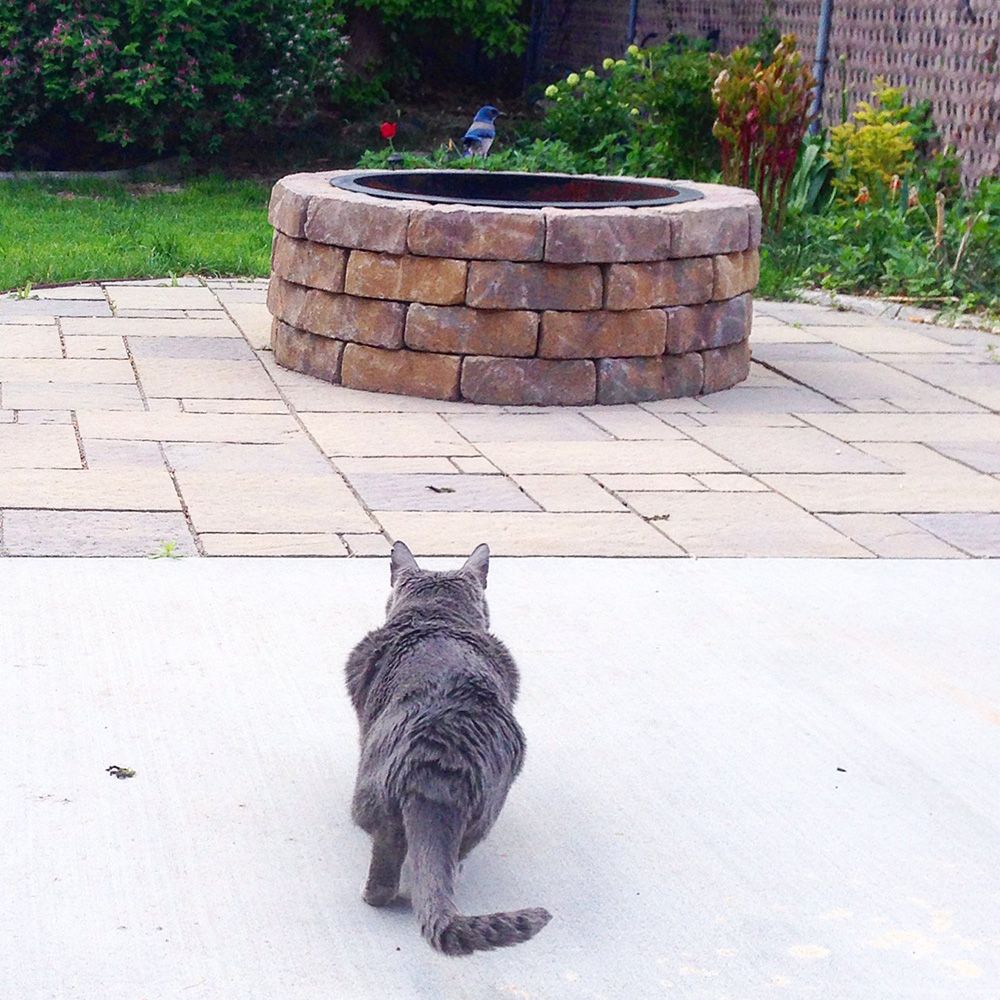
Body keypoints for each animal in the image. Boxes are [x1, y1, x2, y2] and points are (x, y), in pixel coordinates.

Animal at [342, 544, 548, 956]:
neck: (437, 616)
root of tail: (438, 764)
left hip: (373, 795)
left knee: (385, 865)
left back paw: (372, 895)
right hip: (485, 813)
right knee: (451, 857)